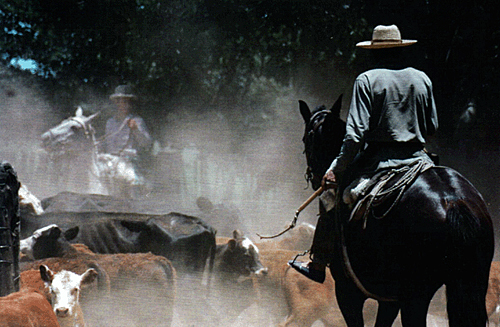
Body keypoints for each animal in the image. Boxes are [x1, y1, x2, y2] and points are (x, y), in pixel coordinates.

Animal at [298, 96, 494, 326]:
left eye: (306, 138)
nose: (317, 178)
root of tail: (454, 202)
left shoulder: (348, 291)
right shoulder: (390, 299)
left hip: (417, 294)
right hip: (472, 284)